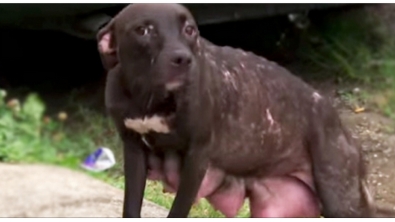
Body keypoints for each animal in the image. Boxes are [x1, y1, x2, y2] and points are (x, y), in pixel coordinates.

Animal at [96, 3, 392, 219]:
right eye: (143, 30)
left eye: (190, 29)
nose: (183, 58)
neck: (150, 97)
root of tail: (340, 125)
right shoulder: (134, 150)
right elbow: (131, 207)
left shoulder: (197, 156)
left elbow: (178, 210)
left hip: (341, 199)